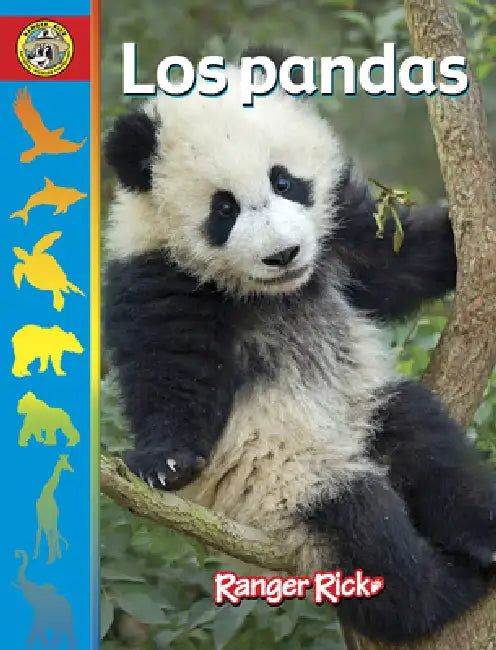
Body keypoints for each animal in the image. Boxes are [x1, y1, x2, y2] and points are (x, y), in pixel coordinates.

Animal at [103, 50, 496, 643]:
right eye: (224, 209)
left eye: (285, 181)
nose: (284, 253)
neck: (273, 292)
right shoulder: (157, 278)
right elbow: (174, 373)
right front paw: (162, 461)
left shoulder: (338, 237)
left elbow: (396, 261)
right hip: (285, 488)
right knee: (368, 536)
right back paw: (448, 587)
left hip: (366, 407)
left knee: (431, 448)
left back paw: (484, 540)